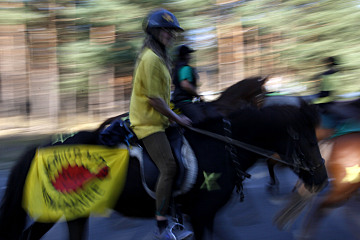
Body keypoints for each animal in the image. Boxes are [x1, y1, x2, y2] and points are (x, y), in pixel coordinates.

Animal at [0, 98, 328, 239]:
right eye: (309, 140)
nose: (323, 179)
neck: (223, 147)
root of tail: (42, 148)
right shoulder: (202, 215)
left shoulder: (204, 216)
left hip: (75, 213)